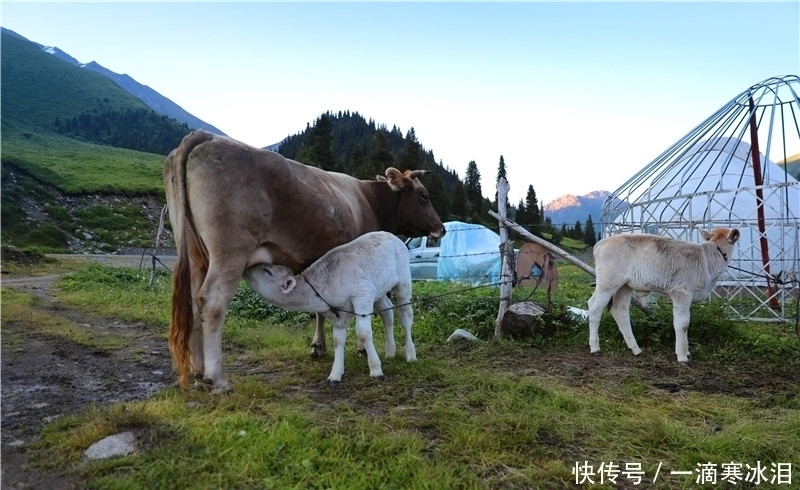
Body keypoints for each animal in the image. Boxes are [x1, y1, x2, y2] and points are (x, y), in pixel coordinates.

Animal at [244, 232, 418, 384]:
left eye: (267, 270)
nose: (247, 268)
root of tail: (391, 235)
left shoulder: (362, 293)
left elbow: (363, 333)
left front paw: (376, 369)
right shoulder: (339, 312)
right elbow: (337, 339)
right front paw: (335, 374)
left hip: (403, 282)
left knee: (405, 316)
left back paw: (410, 353)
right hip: (380, 291)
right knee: (387, 313)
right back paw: (390, 351)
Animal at [584, 228, 740, 362]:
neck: (708, 258)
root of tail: (602, 242)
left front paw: (687, 352)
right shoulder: (681, 293)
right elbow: (682, 324)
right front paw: (682, 356)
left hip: (625, 286)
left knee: (619, 310)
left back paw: (635, 349)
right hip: (607, 283)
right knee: (595, 307)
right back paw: (595, 348)